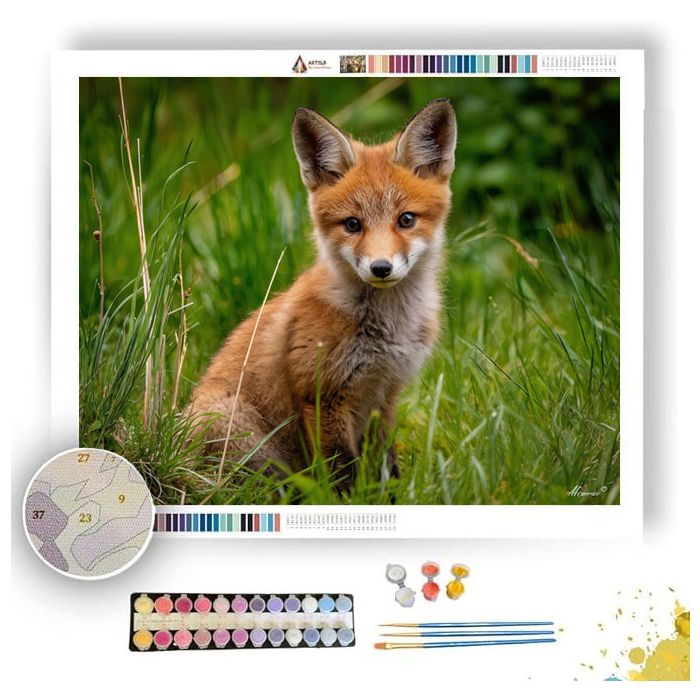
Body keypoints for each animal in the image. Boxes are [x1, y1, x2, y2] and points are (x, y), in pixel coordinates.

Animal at [189, 98, 457, 485]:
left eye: (406, 220)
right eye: (352, 224)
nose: (381, 268)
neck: (387, 330)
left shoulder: (385, 393)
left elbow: (384, 463)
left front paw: (391, 494)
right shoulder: (322, 395)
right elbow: (342, 470)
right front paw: (350, 497)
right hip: (232, 424)